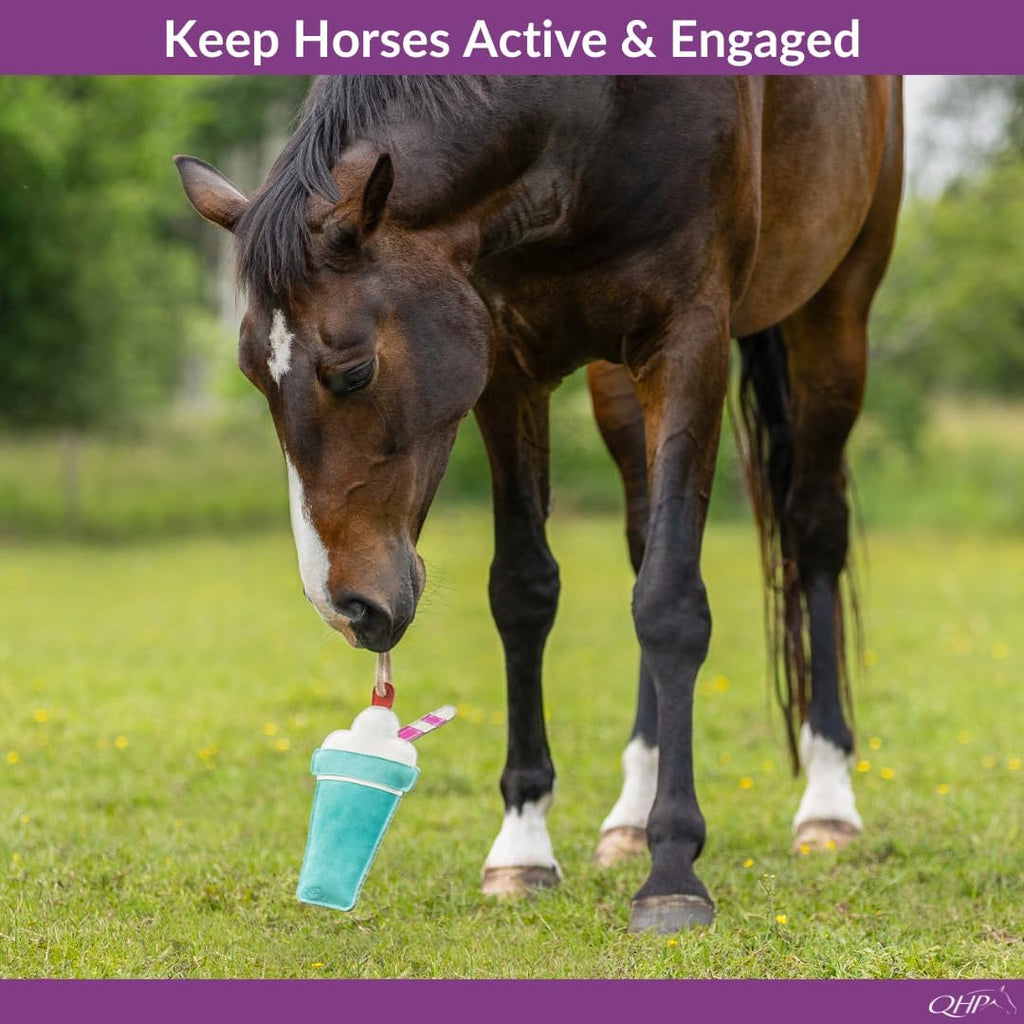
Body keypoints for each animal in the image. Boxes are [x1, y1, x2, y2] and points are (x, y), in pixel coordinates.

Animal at [175, 75, 903, 933]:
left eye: (352, 370)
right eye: (254, 376)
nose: (345, 606)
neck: (591, 116)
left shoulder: (689, 342)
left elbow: (670, 604)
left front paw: (673, 872)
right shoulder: (505, 362)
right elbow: (524, 592)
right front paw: (523, 845)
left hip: (834, 319)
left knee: (814, 536)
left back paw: (827, 800)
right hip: (617, 381)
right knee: (643, 541)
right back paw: (630, 814)